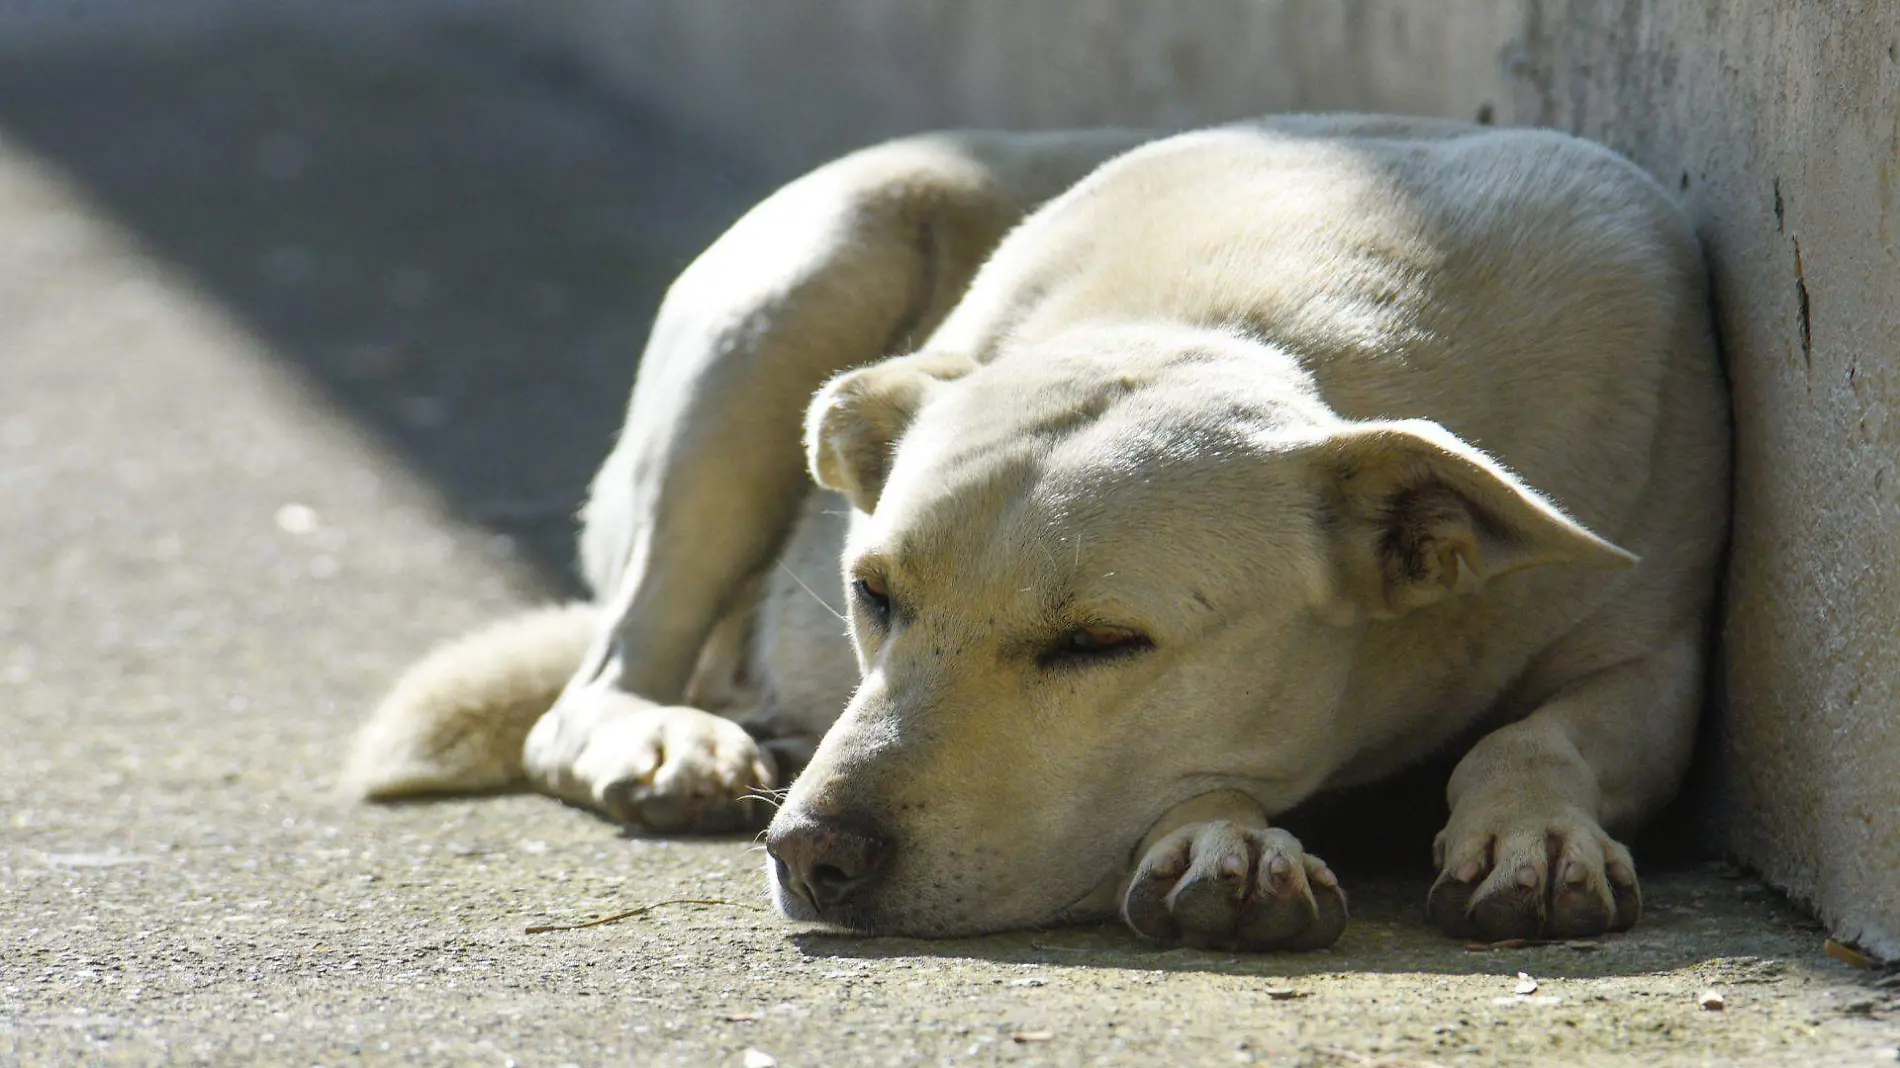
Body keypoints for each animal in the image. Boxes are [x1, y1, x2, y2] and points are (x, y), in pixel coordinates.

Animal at [342, 116, 1725, 946]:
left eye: (1101, 644)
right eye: (872, 594)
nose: (812, 852)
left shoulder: (1655, 660)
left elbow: (1539, 734)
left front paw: (1532, 831)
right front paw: (1225, 839)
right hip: (797, 285)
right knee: (598, 680)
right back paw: (668, 735)